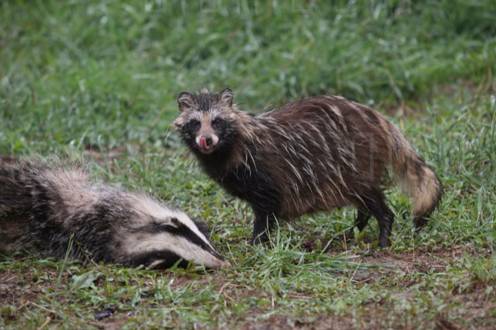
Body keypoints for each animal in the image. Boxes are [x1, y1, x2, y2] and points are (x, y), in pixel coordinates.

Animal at [173, 87, 442, 248]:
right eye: (195, 123)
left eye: (217, 121)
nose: (206, 140)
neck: (228, 148)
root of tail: (377, 118)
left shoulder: (266, 175)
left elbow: (265, 213)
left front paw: (258, 243)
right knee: (362, 201)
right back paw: (355, 229)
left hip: (357, 158)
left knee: (370, 197)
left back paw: (384, 231)